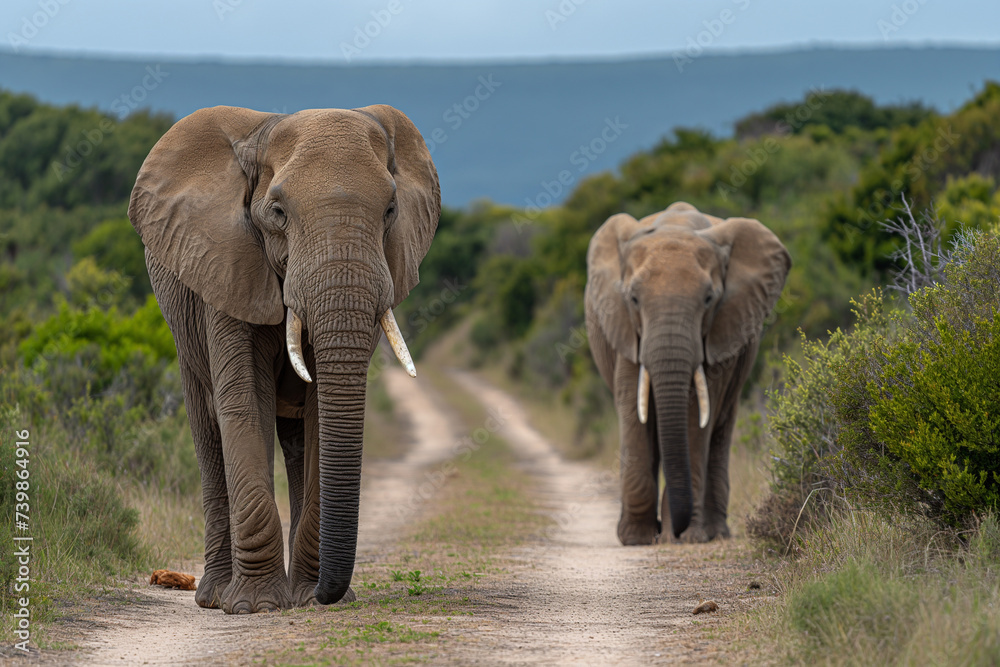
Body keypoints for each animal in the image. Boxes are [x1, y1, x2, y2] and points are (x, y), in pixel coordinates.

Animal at [128, 104, 439, 612]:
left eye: (391, 210)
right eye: (277, 213)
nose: (328, 596)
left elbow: (321, 414)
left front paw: (310, 598)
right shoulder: (227, 263)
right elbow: (243, 404)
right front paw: (254, 606)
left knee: (295, 442)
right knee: (208, 431)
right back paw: (215, 596)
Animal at [584, 202, 790, 545]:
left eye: (708, 299)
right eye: (633, 299)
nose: (672, 531)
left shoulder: (720, 330)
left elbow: (697, 417)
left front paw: (684, 537)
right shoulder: (626, 331)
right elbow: (633, 410)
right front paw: (637, 539)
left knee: (719, 432)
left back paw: (715, 532)